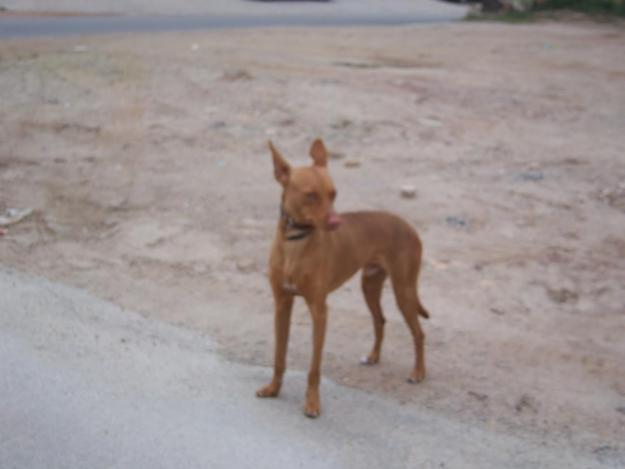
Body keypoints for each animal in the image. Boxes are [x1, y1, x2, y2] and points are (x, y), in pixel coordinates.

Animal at [255, 137, 428, 414]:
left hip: (404, 290)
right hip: (370, 286)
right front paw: (273, 389)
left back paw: (418, 372)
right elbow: (279, 355)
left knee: (419, 333)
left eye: (333, 193)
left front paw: (312, 403)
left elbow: (314, 367)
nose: (337, 223)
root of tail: (408, 225)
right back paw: (373, 356)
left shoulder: (319, 310)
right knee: (380, 320)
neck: (295, 243)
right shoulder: (282, 304)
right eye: (310, 195)